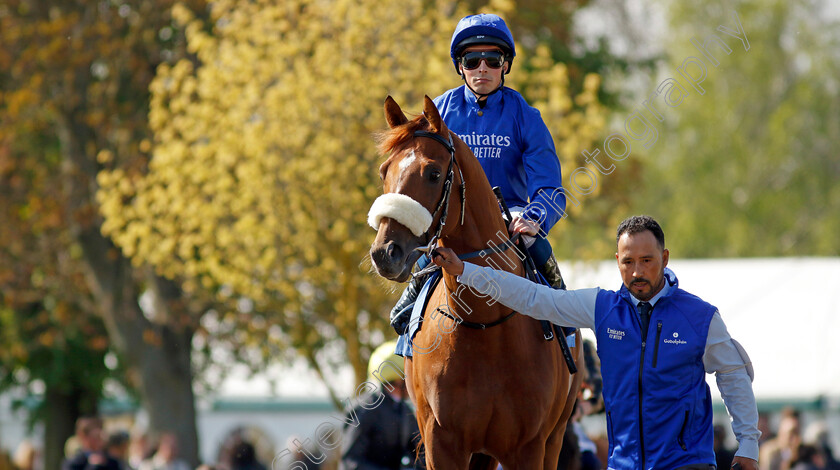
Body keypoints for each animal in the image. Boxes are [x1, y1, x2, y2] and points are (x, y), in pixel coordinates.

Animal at [370, 96, 584, 470]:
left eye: (433, 173)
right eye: (384, 171)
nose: (385, 252)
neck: (485, 326)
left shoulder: (529, 446)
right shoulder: (441, 443)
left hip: (554, 438)